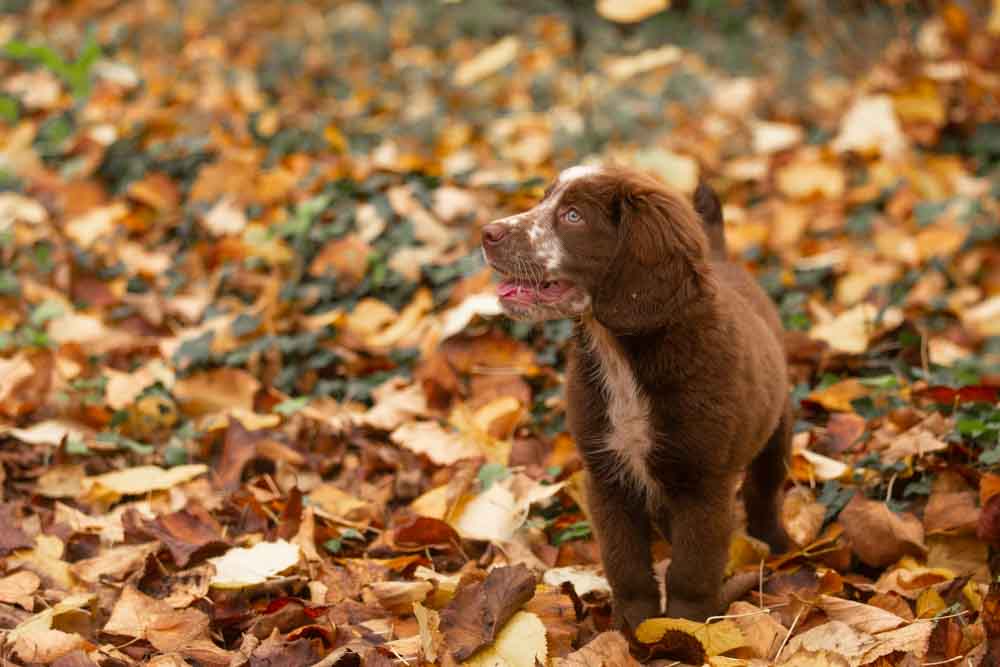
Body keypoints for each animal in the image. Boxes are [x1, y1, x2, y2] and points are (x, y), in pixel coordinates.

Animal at [480, 164, 792, 628]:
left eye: (573, 216)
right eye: (544, 199)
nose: (488, 232)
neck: (622, 358)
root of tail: (721, 259)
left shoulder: (703, 485)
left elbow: (692, 569)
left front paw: (682, 629)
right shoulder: (606, 475)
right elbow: (624, 561)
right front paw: (634, 626)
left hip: (777, 426)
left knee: (765, 488)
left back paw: (776, 543)